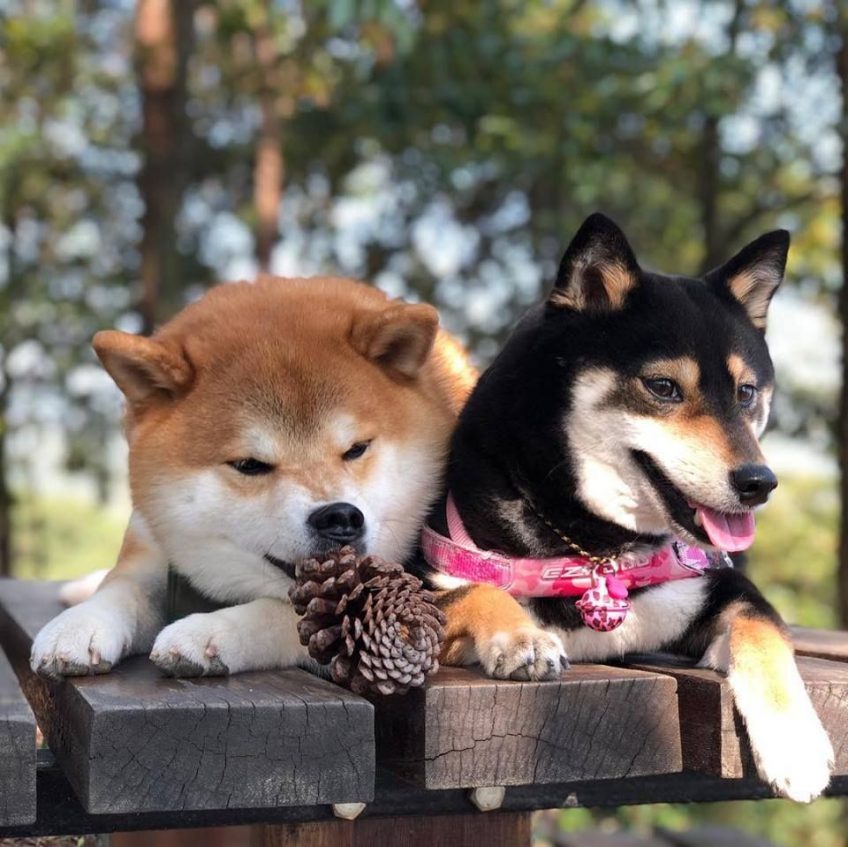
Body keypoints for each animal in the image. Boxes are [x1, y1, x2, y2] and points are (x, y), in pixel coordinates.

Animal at [29, 278, 474, 684]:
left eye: (356, 448)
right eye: (250, 464)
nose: (340, 517)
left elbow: (282, 616)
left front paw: (209, 631)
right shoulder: (150, 542)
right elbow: (122, 587)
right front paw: (78, 626)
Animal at [420, 214, 832, 800]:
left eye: (746, 392)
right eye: (663, 387)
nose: (760, 482)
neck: (597, 552)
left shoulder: (717, 585)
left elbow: (763, 630)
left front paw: (795, 742)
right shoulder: (416, 588)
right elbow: (476, 589)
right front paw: (522, 637)